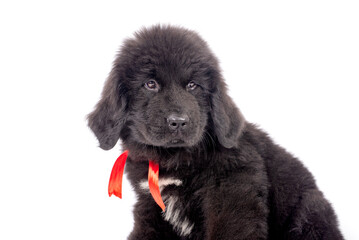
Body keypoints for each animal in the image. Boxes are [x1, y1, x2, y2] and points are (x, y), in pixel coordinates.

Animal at [88, 25, 344, 239]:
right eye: (150, 84)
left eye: (193, 85)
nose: (178, 122)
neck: (174, 159)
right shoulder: (151, 204)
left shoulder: (233, 191)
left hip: (310, 208)